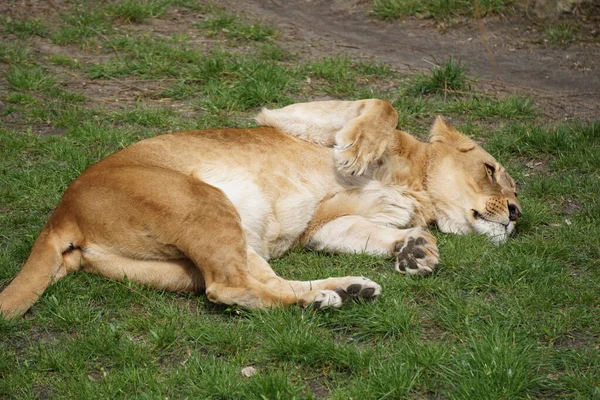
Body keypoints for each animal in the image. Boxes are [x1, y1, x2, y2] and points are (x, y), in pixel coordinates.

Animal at [0, 98, 520, 318]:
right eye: (492, 171)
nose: (516, 213)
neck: (415, 182)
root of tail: (62, 213)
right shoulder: (294, 115)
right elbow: (382, 106)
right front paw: (358, 153)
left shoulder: (321, 226)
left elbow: (365, 230)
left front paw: (416, 250)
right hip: (206, 201)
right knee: (229, 289)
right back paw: (324, 300)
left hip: (217, 248)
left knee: (249, 282)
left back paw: (344, 292)